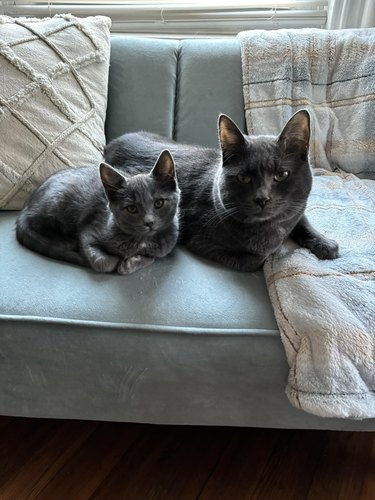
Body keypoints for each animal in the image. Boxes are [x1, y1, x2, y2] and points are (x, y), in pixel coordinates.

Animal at [16, 149, 181, 274]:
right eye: (131, 208)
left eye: (159, 203)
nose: (149, 222)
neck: (141, 240)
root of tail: (25, 207)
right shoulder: (88, 232)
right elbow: (103, 262)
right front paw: (116, 261)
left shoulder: (164, 248)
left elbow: (152, 257)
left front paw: (130, 263)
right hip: (56, 202)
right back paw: (63, 240)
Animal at [104, 111, 340, 272]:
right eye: (244, 178)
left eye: (281, 175)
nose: (262, 198)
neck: (270, 229)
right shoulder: (200, 241)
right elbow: (256, 259)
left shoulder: (296, 209)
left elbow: (302, 220)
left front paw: (326, 243)